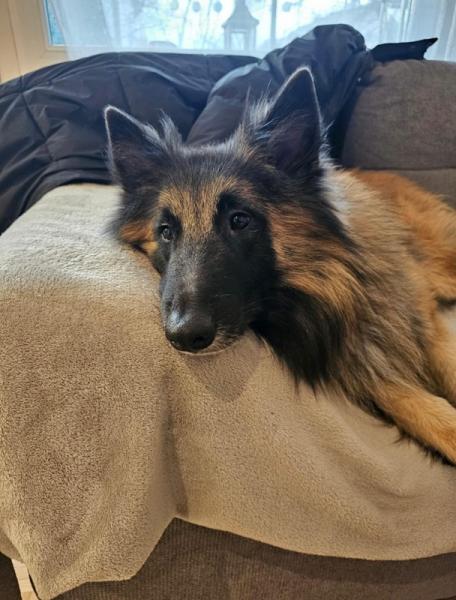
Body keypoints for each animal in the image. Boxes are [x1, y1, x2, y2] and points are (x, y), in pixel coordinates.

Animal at [104, 68, 456, 464]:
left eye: (239, 220)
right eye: (165, 232)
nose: (184, 336)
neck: (340, 287)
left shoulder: (423, 320)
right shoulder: (362, 365)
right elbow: (410, 401)